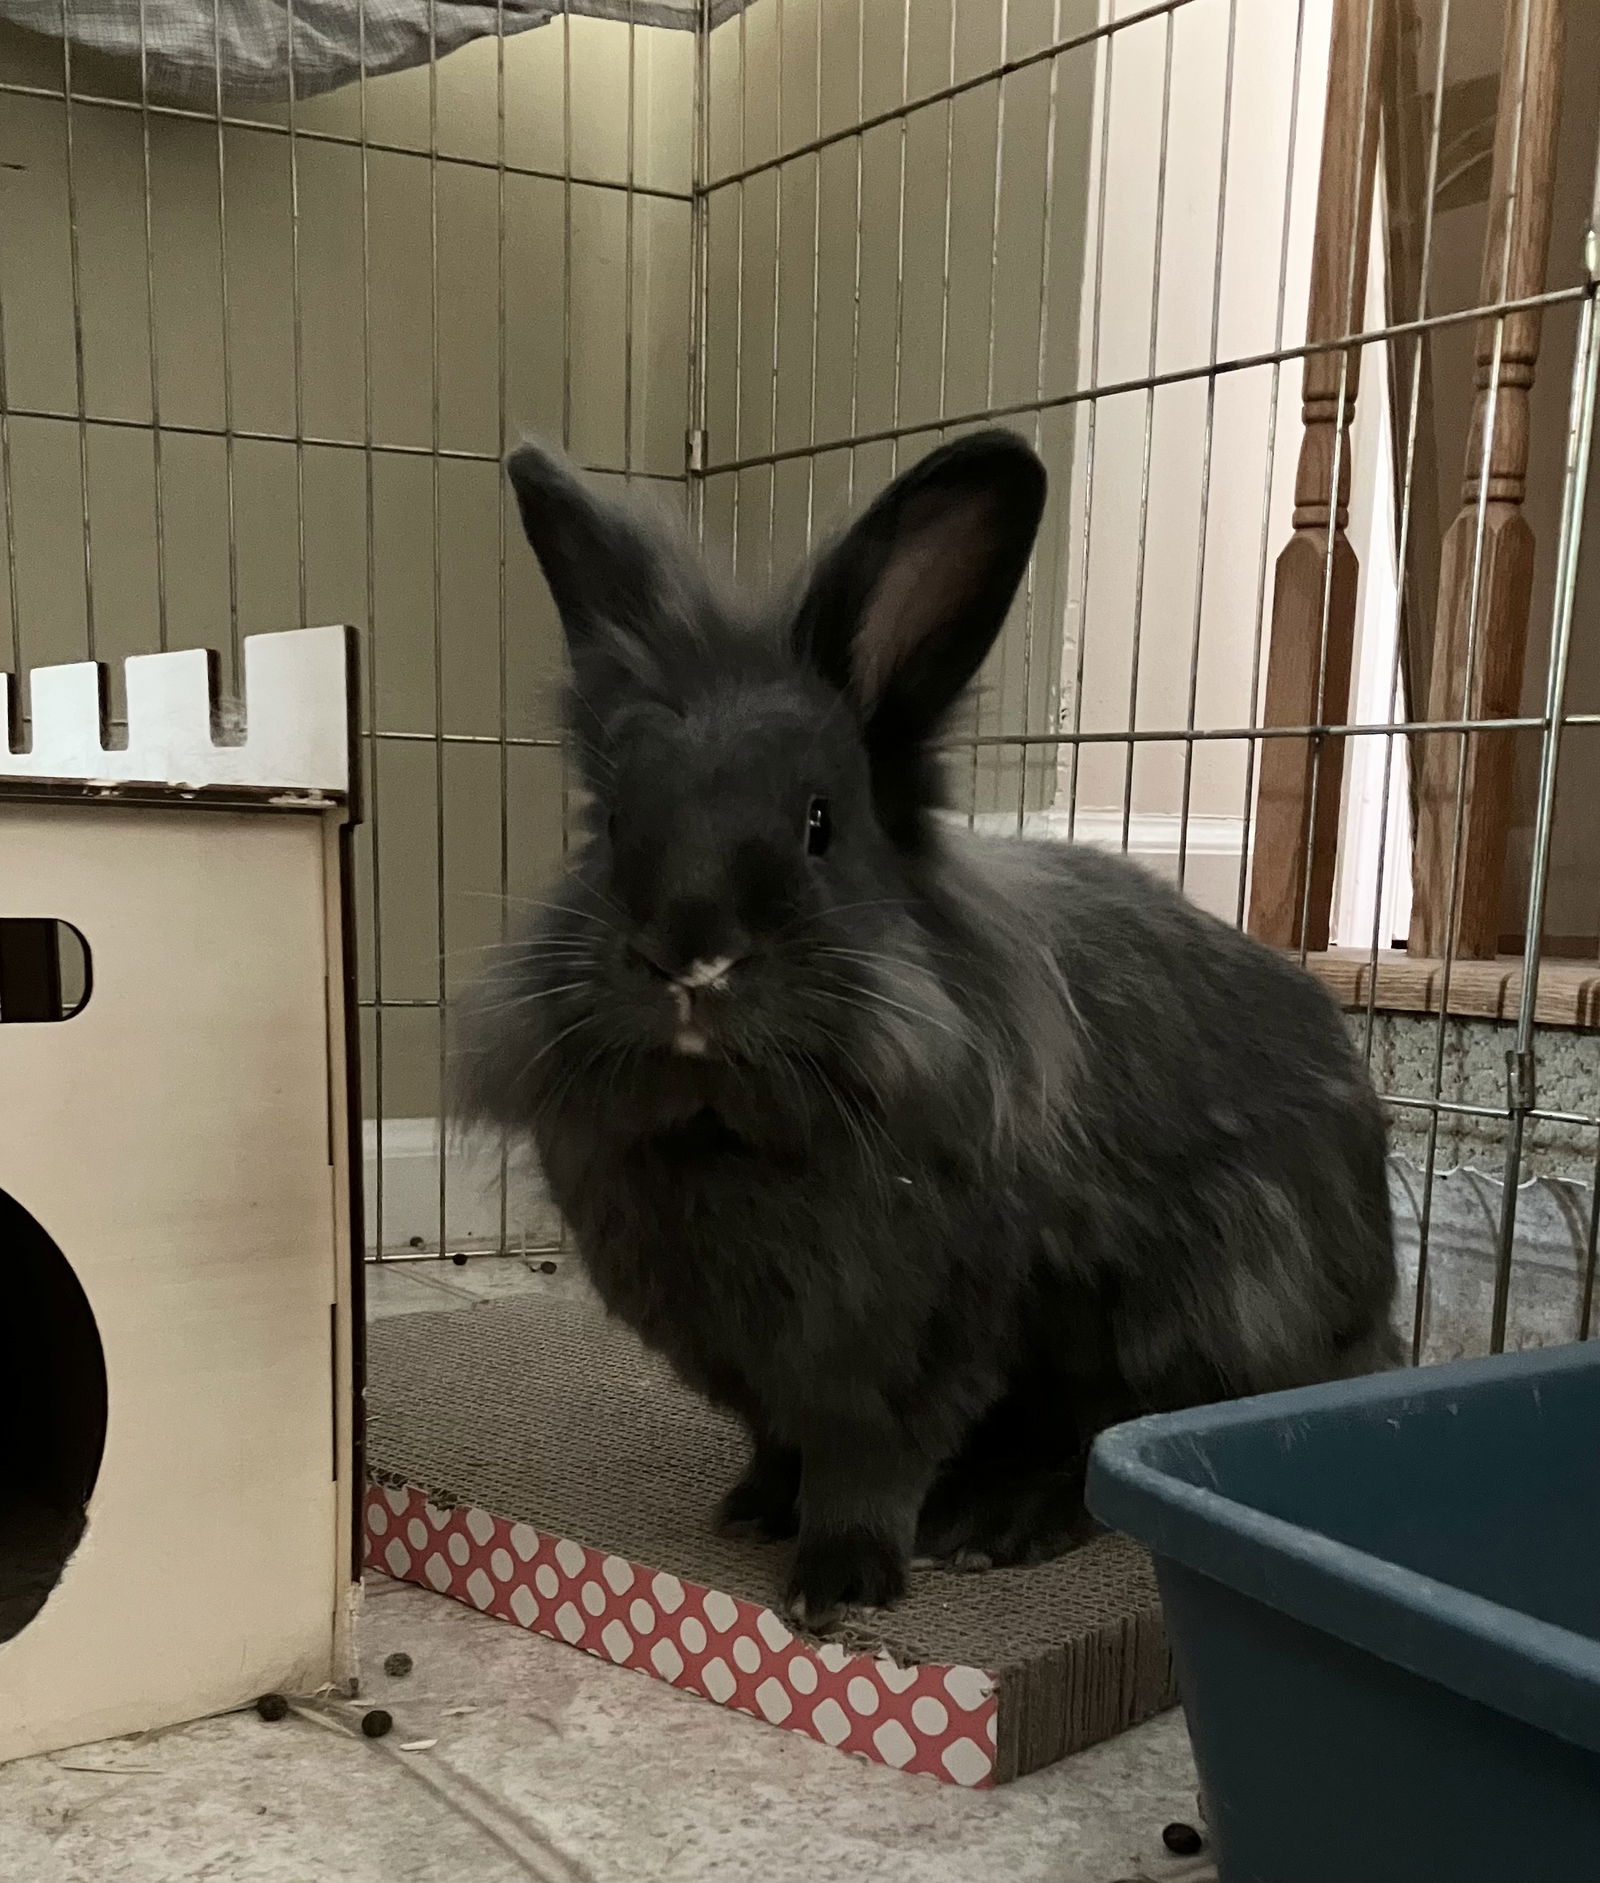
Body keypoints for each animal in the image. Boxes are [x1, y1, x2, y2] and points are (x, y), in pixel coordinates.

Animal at [461, 433, 1400, 1626]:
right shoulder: (752, 1361)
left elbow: (869, 1468)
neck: (734, 1135)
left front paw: (836, 1586)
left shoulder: (914, 1343)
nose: (691, 957)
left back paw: (995, 1525)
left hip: (1208, 1309)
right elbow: (781, 1444)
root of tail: (1376, 1320)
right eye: (617, 820)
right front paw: (751, 1509)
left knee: (1112, 1446)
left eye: (820, 822)